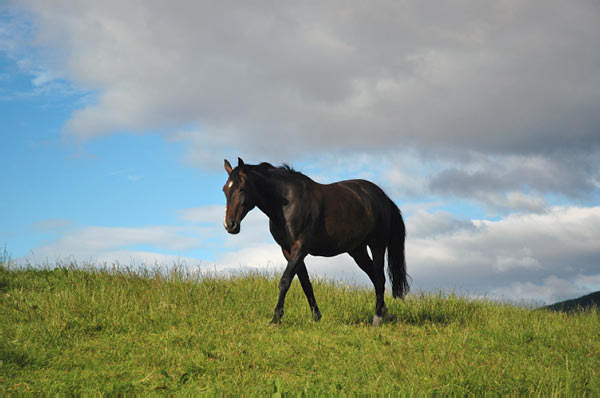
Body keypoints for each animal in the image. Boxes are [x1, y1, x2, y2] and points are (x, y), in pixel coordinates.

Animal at [223, 157, 410, 324]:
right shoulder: (288, 250)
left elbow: (285, 281)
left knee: (379, 277)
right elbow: (305, 283)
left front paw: (276, 318)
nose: (230, 225)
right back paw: (386, 313)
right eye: (225, 189)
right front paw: (316, 317)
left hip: (377, 245)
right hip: (357, 250)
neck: (287, 203)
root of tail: (383, 197)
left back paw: (377, 318)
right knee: (374, 276)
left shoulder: (300, 247)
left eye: (241, 188)